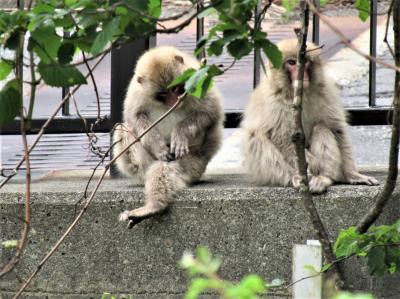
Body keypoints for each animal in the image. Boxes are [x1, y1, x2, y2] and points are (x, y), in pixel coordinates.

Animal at [113, 45, 225, 227]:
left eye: (175, 88)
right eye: (163, 94)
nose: (174, 100)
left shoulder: (199, 80)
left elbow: (210, 112)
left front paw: (180, 133)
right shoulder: (137, 93)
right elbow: (134, 117)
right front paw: (158, 146)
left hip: (194, 164)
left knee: (166, 168)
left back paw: (154, 206)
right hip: (143, 167)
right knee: (123, 129)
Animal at [241, 39, 378, 195]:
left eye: (305, 61)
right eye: (292, 63)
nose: (301, 75)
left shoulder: (326, 92)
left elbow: (337, 130)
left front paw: (351, 174)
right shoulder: (274, 101)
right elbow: (281, 137)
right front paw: (313, 163)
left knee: (321, 127)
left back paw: (324, 178)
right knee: (255, 136)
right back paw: (296, 177)